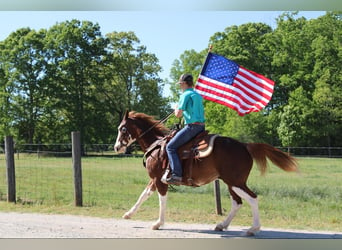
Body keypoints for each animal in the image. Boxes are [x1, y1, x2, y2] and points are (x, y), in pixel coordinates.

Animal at [113, 110, 298, 235]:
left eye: (123, 129)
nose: (116, 147)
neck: (157, 145)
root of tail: (245, 146)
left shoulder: (160, 180)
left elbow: (162, 201)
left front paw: (158, 223)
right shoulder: (154, 179)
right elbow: (143, 195)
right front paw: (128, 214)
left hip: (235, 182)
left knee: (252, 198)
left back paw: (253, 228)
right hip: (231, 183)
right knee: (237, 203)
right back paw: (222, 225)